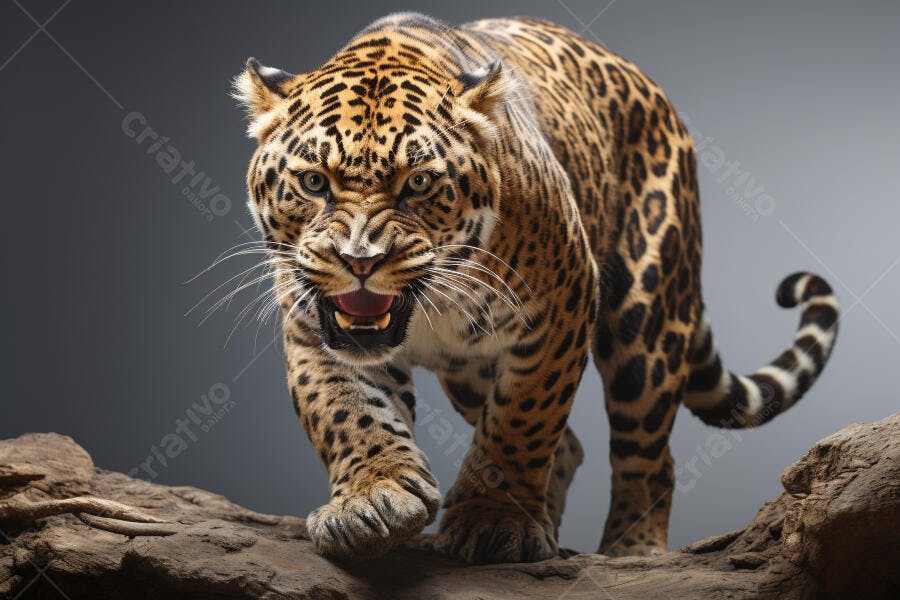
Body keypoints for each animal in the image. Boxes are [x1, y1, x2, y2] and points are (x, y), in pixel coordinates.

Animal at [231, 12, 839, 563]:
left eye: (419, 182)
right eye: (315, 182)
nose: (360, 260)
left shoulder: (563, 305)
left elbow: (522, 421)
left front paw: (492, 522)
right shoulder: (313, 327)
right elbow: (347, 411)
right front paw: (371, 500)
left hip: (647, 321)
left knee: (646, 455)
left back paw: (632, 549)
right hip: (470, 372)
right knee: (568, 448)